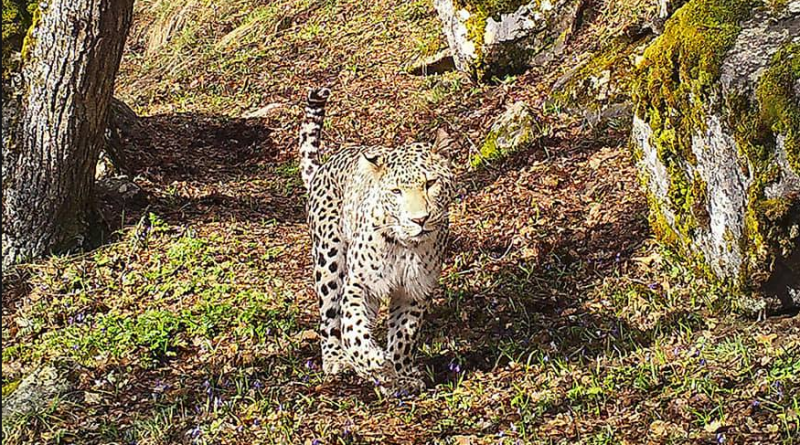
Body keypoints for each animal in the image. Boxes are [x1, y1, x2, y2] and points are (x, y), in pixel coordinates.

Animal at [296, 86, 456, 392]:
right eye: (396, 191)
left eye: (430, 184)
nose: (419, 219)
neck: (406, 247)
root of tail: (323, 167)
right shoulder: (360, 284)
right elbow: (352, 328)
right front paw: (373, 362)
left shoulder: (414, 290)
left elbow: (405, 335)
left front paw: (400, 374)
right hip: (329, 259)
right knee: (329, 317)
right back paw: (336, 360)